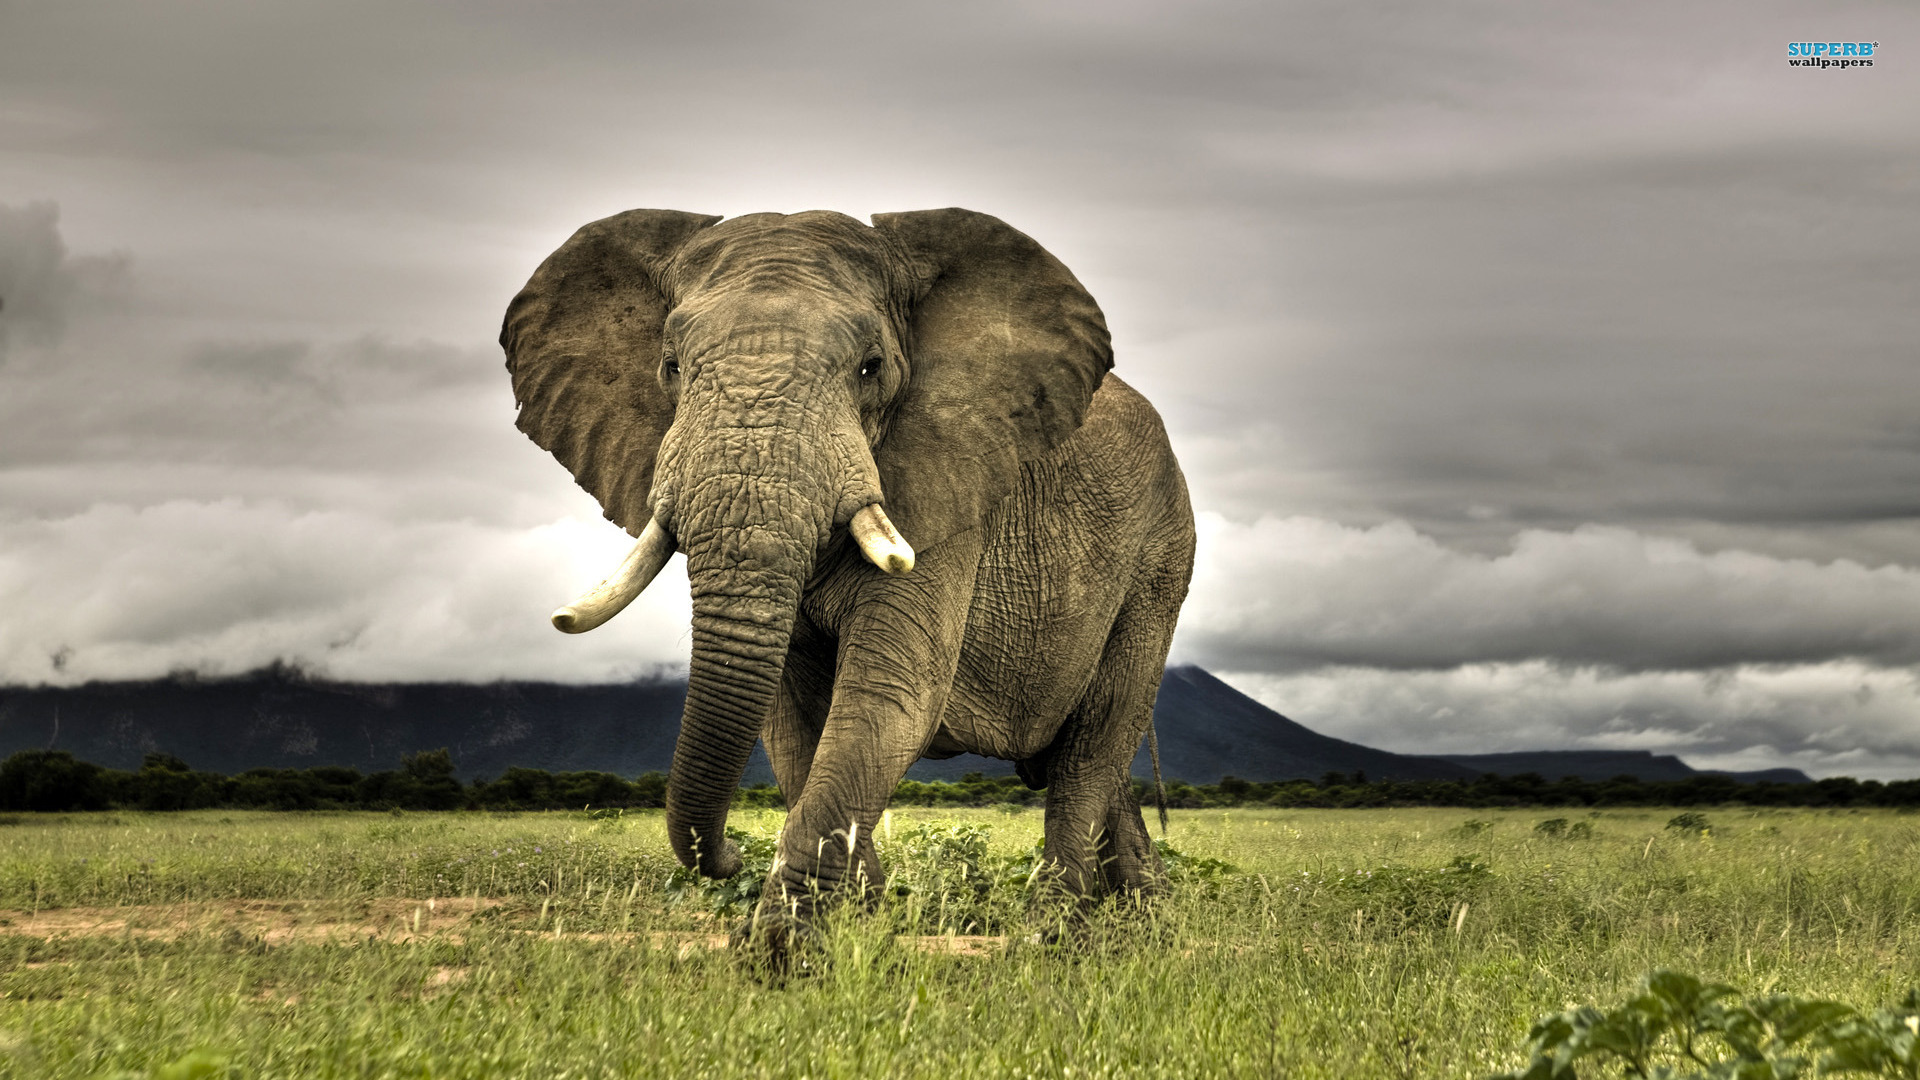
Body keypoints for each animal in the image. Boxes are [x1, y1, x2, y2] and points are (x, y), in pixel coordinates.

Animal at [500, 207, 1194, 939]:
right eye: (671, 366)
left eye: (871, 367)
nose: (724, 856)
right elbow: (791, 722)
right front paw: (860, 924)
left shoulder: (946, 487)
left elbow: (889, 696)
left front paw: (781, 951)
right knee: (1088, 761)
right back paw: (1141, 918)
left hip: (1160, 560)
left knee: (1095, 743)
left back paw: (1053, 936)